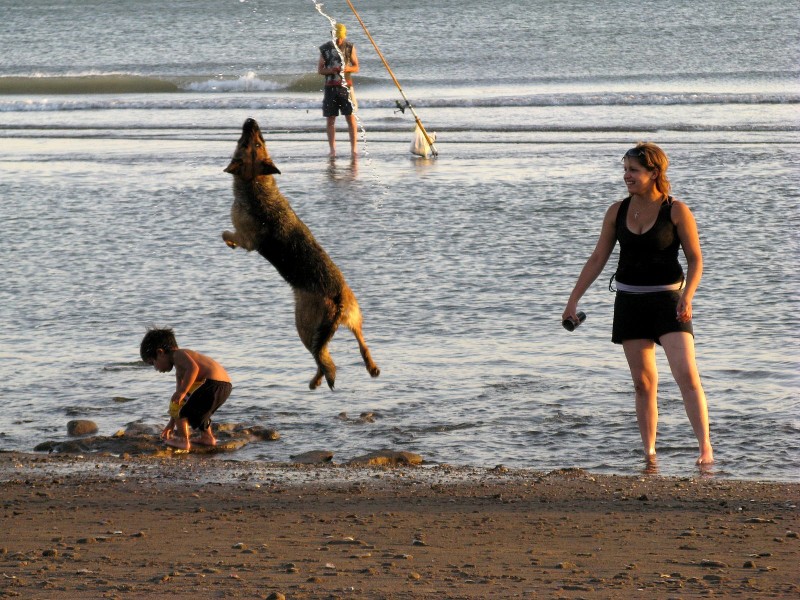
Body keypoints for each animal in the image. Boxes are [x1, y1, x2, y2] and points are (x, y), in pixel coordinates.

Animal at [220, 117, 380, 390]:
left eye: (253, 143)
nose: (251, 120)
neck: (255, 182)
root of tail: (338, 298)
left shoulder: (246, 238)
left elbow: (226, 233)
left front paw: (228, 242)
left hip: (303, 324)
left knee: (322, 356)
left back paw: (316, 380)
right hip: (354, 316)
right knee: (360, 344)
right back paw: (370, 367)